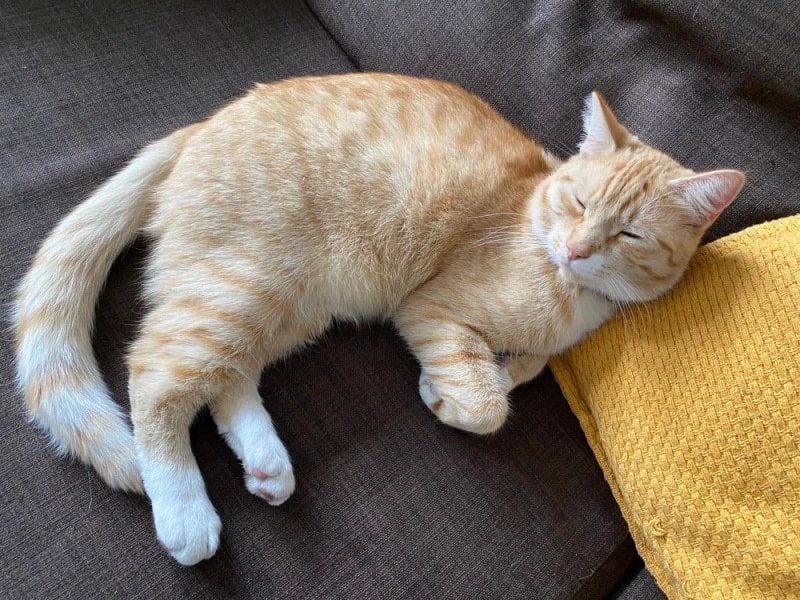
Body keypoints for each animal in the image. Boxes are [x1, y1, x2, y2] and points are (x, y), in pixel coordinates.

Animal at [10, 72, 744, 564]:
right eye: (579, 202)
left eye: (630, 235)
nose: (578, 249)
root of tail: (204, 123)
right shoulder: (430, 308)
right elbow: (488, 405)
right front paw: (448, 395)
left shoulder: (528, 343)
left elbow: (523, 369)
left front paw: (458, 381)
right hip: (246, 287)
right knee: (157, 375)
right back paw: (184, 509)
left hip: (289, 307)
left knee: (225, 381)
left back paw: (265, 460)